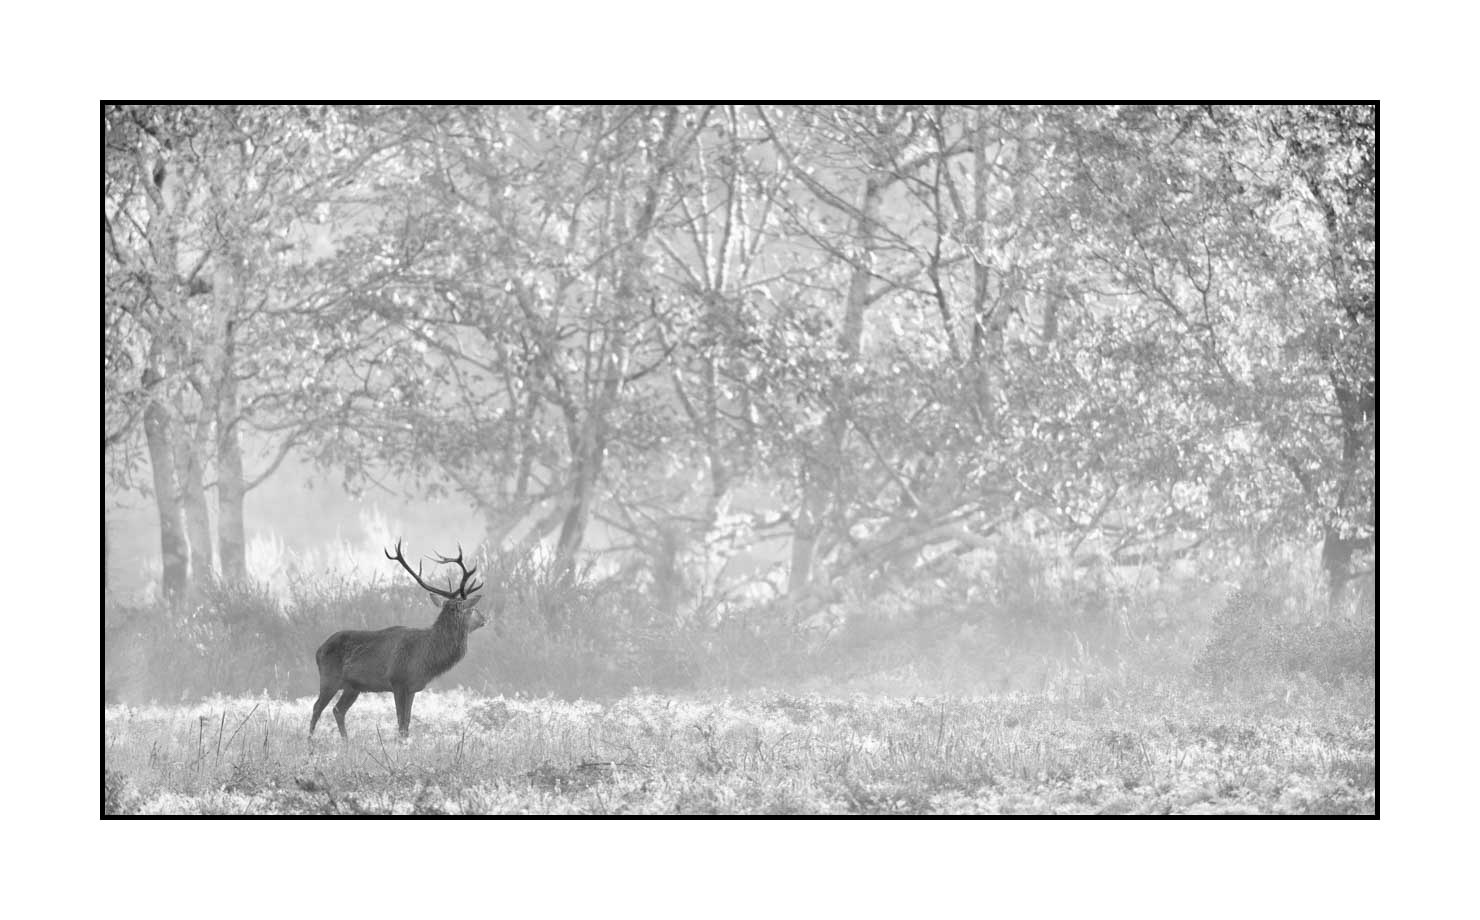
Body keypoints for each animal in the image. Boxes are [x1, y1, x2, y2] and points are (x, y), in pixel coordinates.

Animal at [309, 540, 488, 740]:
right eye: (472, 609)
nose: (484, 619)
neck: (426, 657)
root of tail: (318, 650)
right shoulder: (397, 681)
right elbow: (401, 722)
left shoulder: (412, 688)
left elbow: (407, 723)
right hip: (329, 678)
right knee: (317, 707)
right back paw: (310, 742)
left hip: (353, 686)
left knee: (338, 710)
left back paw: (346, 742)